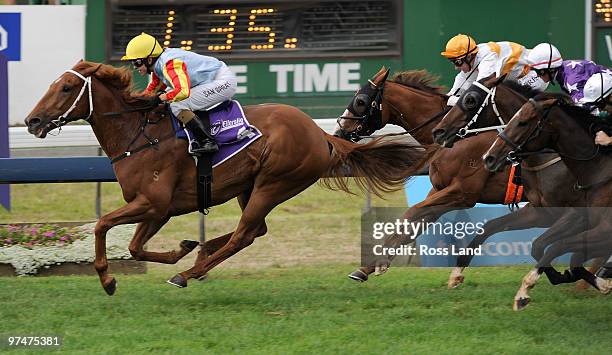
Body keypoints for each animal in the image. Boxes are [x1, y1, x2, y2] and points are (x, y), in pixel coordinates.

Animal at [23, 61, 426, 294]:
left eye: (66, 88)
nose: (32, 120)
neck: (139, 135)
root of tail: (321, 134)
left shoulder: (152, 202)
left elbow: (102, 224)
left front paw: (107, 279)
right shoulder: (158, 209)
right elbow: (135, 246)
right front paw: (181, 248)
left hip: (273, 183)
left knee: (245, 234)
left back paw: (189, 272)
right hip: (249, 187)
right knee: (253, 230)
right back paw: (200, 252)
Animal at [482, 94, 612, 306]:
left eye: (523, 122)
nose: (489, 157)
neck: (599, 170)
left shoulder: (597, 226)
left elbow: (558, 247)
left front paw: (525, 289)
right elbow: (557, 252)